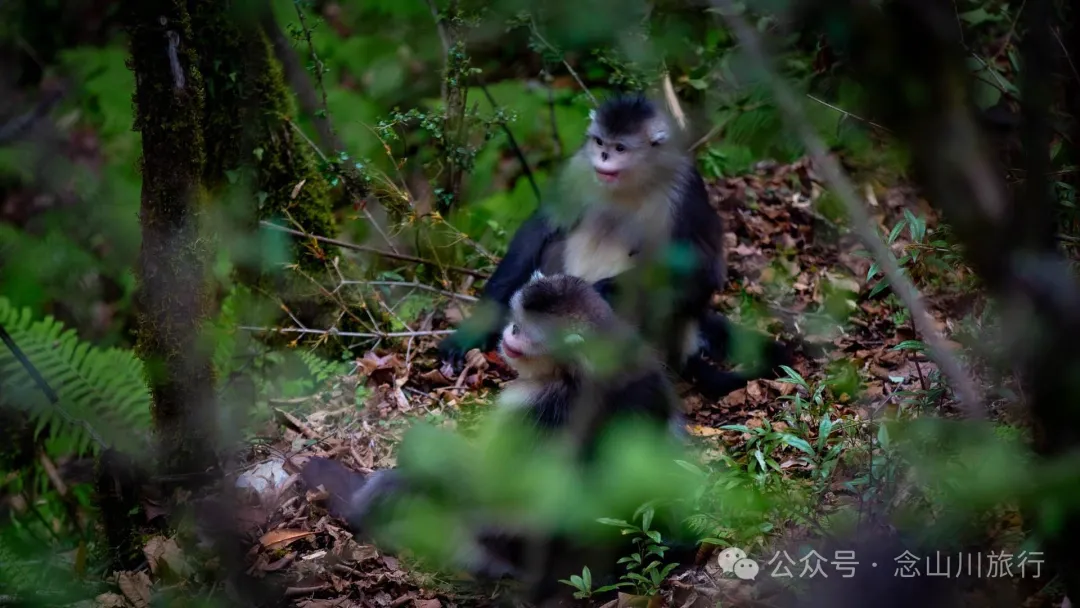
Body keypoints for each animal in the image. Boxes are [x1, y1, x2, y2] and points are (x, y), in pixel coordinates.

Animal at [302, 272, 699, 604]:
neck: (584, 363)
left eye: (522, 334)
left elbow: (492, 481)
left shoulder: (532, 399)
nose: (508, 334)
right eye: (515, 323)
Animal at [438, 93, 790, 401]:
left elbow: (705, 270)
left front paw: (604, 291)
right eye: (600, 143)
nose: (604, 157)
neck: (629, 184)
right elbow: (539, 230)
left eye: (620, 147)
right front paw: (472, 332)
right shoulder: (578, 168)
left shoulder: (685, 189)